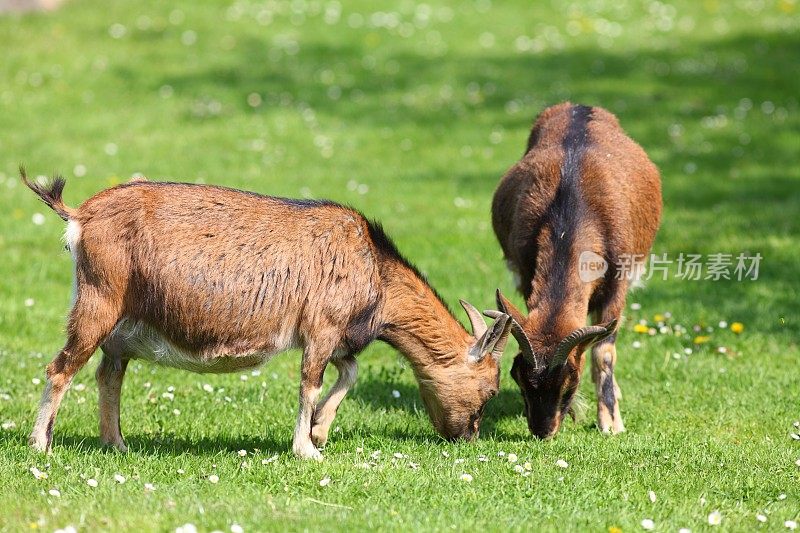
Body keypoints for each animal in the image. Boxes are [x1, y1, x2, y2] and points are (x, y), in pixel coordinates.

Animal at [26, 172, 512, 460]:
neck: (374, 267)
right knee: (60, 369)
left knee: (108, 374)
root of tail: (80, 214)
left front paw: (320, 431)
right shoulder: (322, 327)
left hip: (122, 328)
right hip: (98, 302)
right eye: (489, 390)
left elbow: (350, 373)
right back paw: (41, 446)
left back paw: (117, 444)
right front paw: (306, 448)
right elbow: (310, 384)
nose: (466, 437)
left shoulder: (336, 337)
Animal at [490, 103, 664, 436]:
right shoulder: (527, 273)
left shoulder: (618, 279)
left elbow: (603, 351)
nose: (542, 431)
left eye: (570, 381)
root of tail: (578, 106)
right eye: (518, 376)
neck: (568, 212)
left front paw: (610, 422)